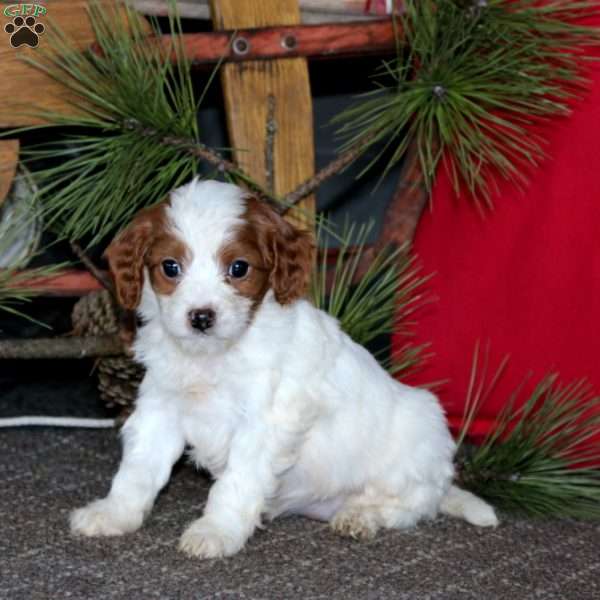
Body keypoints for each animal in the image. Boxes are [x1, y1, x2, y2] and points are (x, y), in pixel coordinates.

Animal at [70, 178, 500, 556]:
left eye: (239, 268)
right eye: (170, 267)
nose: (201, 317)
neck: (215, 355)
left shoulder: (264, 423)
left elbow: (235, 482)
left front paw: (216, 531)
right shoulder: (162, 407)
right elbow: (138, 468)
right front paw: (114, 513)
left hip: (417, 442)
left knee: (408, 507)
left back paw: (360, 517)